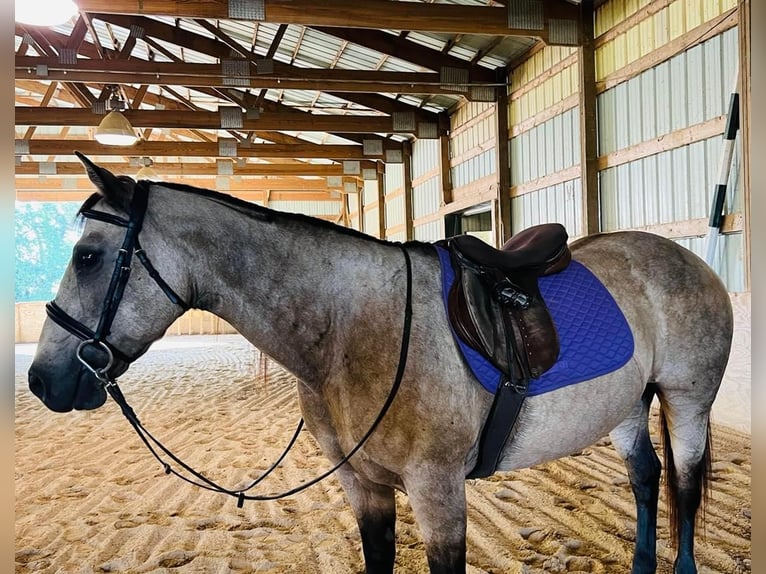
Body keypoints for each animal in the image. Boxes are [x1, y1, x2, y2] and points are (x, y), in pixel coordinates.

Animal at [27, 154, 736, 574]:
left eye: (88, 256)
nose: (41, 379)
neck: (352, 329)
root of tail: (686, 257)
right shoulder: (362, 486)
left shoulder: (437, 492)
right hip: (626, 406)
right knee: (645, 479)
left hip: (687, 401)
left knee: (682, 487)